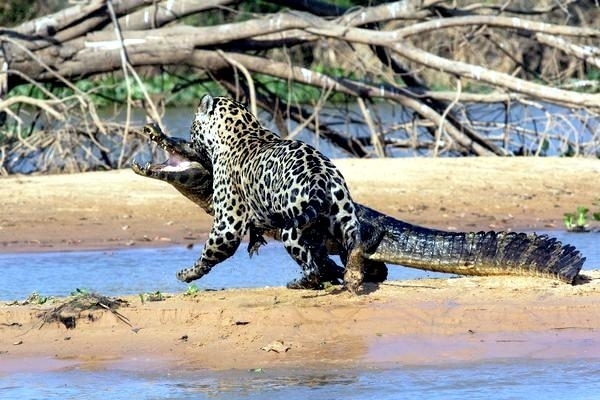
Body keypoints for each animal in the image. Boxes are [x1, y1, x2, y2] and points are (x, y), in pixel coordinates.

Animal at [175, 94, 368, 292]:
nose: (189, 141)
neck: (241, 128)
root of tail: (319, 173)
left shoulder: (228, 224)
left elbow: (209, 251)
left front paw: (186, 273)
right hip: (345, 220)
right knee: (353, 248)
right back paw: (352, 277)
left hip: (291, 228)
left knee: (311, 268)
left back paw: (297, 283)